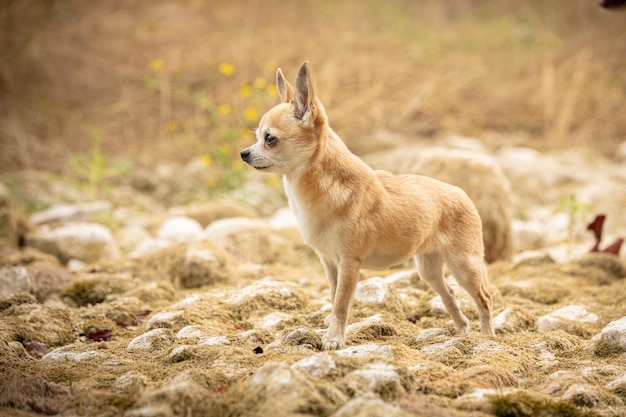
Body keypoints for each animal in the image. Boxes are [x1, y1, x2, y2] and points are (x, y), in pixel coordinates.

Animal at [240, 61, 492, 348]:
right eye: (257, 137)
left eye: (269, 139)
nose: (243, 153)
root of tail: (461, 193)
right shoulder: (330, 263)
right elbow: (334, 297)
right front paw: (332, 331)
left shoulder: (349, 263)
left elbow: (341, 303)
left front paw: (334, 339)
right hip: (428, 270)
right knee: (449, 294)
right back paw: (462, 330)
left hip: (464, 266)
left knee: (484, 298)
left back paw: (488, 337)